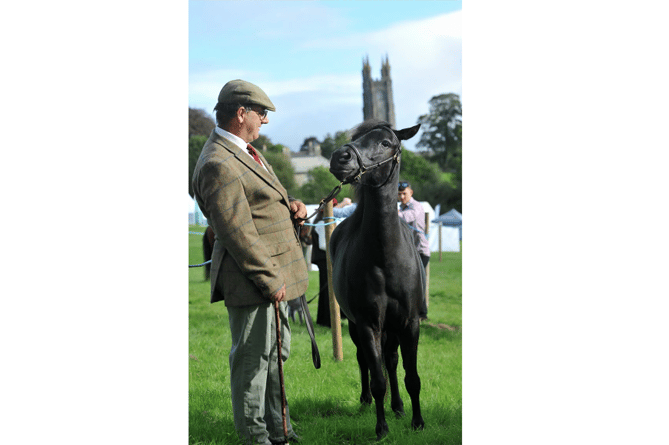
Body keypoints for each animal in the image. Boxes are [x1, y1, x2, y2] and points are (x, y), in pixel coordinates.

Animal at [328, 119, 422, 438]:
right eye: (357, 138)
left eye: (386, 143)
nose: (340, 157)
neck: (385, 256)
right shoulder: (368, 323)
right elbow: (377, 378)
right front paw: (381, 429)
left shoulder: (410, 323)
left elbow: (411, 376)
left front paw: (417, 422)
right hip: (355, 324)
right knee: (366, 361)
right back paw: (367, 400)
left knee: (391, 361)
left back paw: (399, 407)